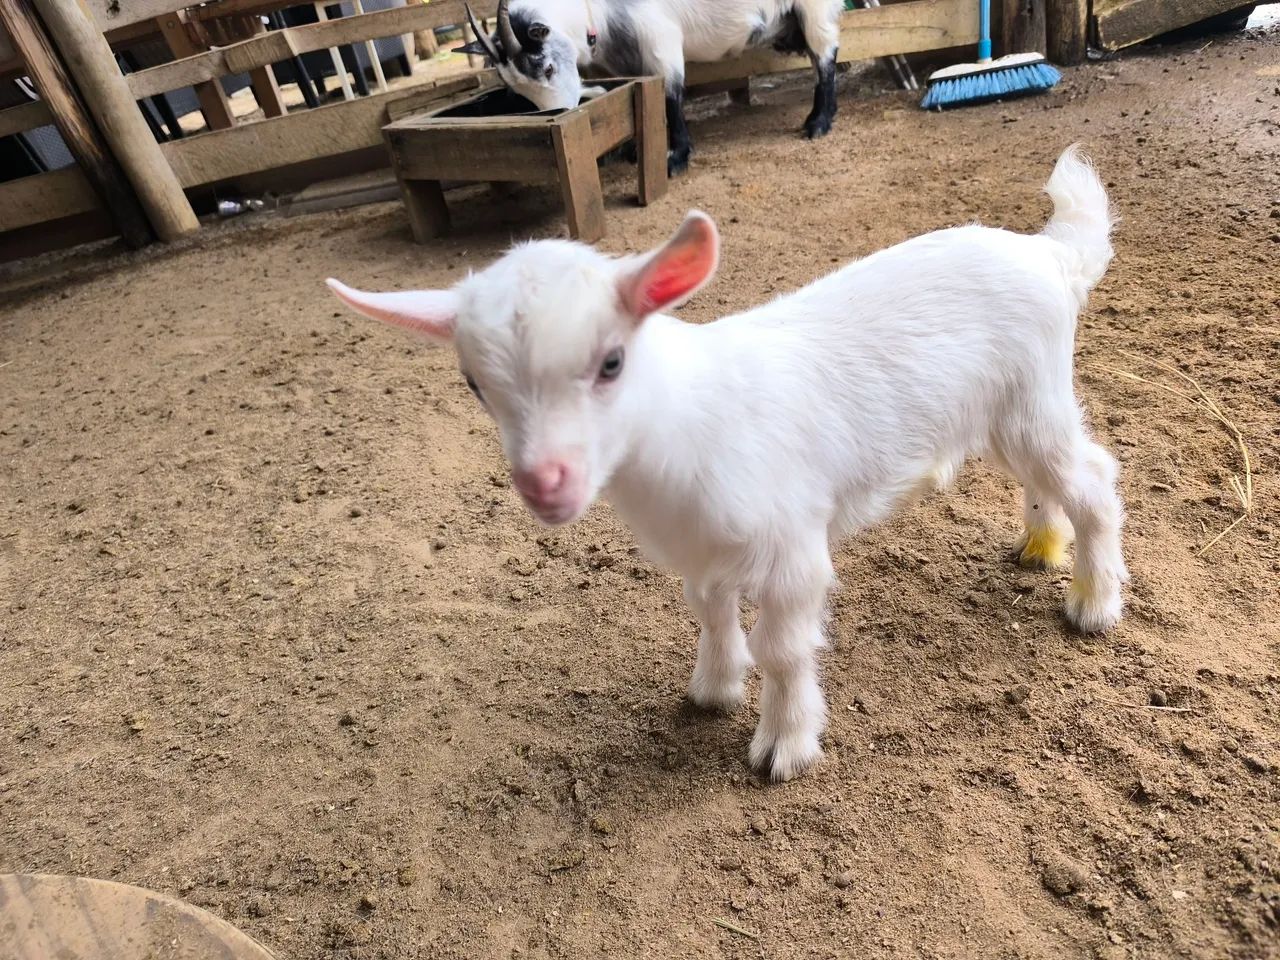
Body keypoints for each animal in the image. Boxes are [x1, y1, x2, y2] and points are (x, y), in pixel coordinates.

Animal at [326, 145, 1127, 782]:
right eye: (473, 383)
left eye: (612, 361)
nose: (544, 484)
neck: (685, 422)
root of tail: (1050, 255)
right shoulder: (700, 552)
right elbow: (710, 613)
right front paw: (713, 688)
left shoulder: (793, 550)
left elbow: (783, 648)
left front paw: (785, 745)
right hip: (1008, 414)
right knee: (1045, 480)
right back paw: (1040, 546)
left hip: (1034, 399)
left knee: (1094, 482)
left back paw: (1093, 603)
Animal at [457, 0, 844, 173]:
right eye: (519, 91)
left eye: (548, 67)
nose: (561, 113)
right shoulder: (626, 60)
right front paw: (633, 148)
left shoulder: (660, 41)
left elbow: (670, 97)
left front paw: (676, 157)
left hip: (814, 8)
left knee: (825, 58)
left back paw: (818, 122)